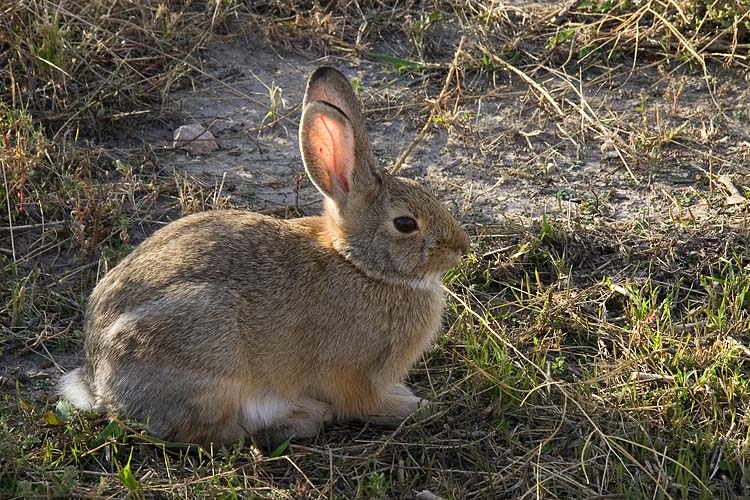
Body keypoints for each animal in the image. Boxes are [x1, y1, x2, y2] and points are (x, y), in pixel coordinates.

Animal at [60, 66, 470, 446]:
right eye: (405, 223)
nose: (461, 247)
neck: (360, 264)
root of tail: (98, 383)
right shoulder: (360, 375)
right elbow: (365, 404)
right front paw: (414, 406)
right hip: (210, 363)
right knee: (213, 432)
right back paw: (302, 417)